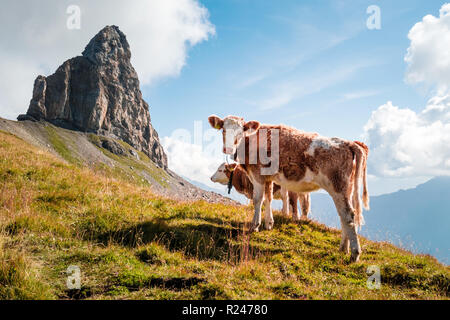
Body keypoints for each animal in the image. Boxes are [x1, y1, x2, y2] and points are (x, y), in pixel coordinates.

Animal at [207, 115, 370, 262]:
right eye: (223, 130)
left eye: (241, 131)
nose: (228, 148)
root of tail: (348, 143)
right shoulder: (268, 178)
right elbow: (268, 198)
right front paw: (269, 223)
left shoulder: (257, 175)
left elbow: (258, 200)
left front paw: (255, 226)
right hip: (346, 189)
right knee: (344, 216)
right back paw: (343, 248)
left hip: (338, 187)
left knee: (348, 215)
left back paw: (354, 254)